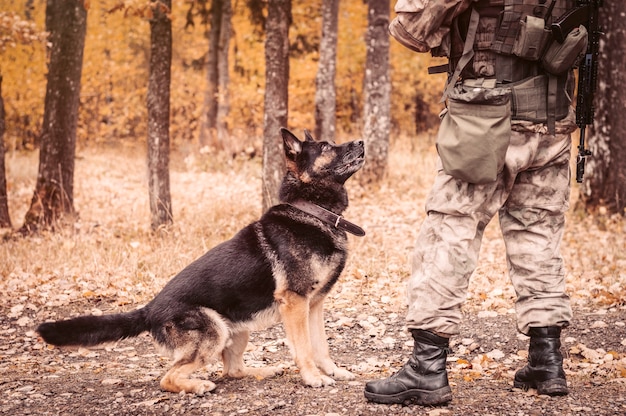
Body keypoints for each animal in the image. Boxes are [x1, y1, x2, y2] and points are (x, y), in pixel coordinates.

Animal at [35, 128, 366, 394]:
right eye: (325, 147)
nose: (362, 141)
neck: (311, 211)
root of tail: (149, 309)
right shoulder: (296, 303)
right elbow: (305, 348)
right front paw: (312, 377)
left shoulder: (314, 304)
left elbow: (321, 345)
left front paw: (334, 372)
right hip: (214, 331)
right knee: (168, 377)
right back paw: (197, 386)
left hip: (237, 329)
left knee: (233, 370)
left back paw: (264, 370)